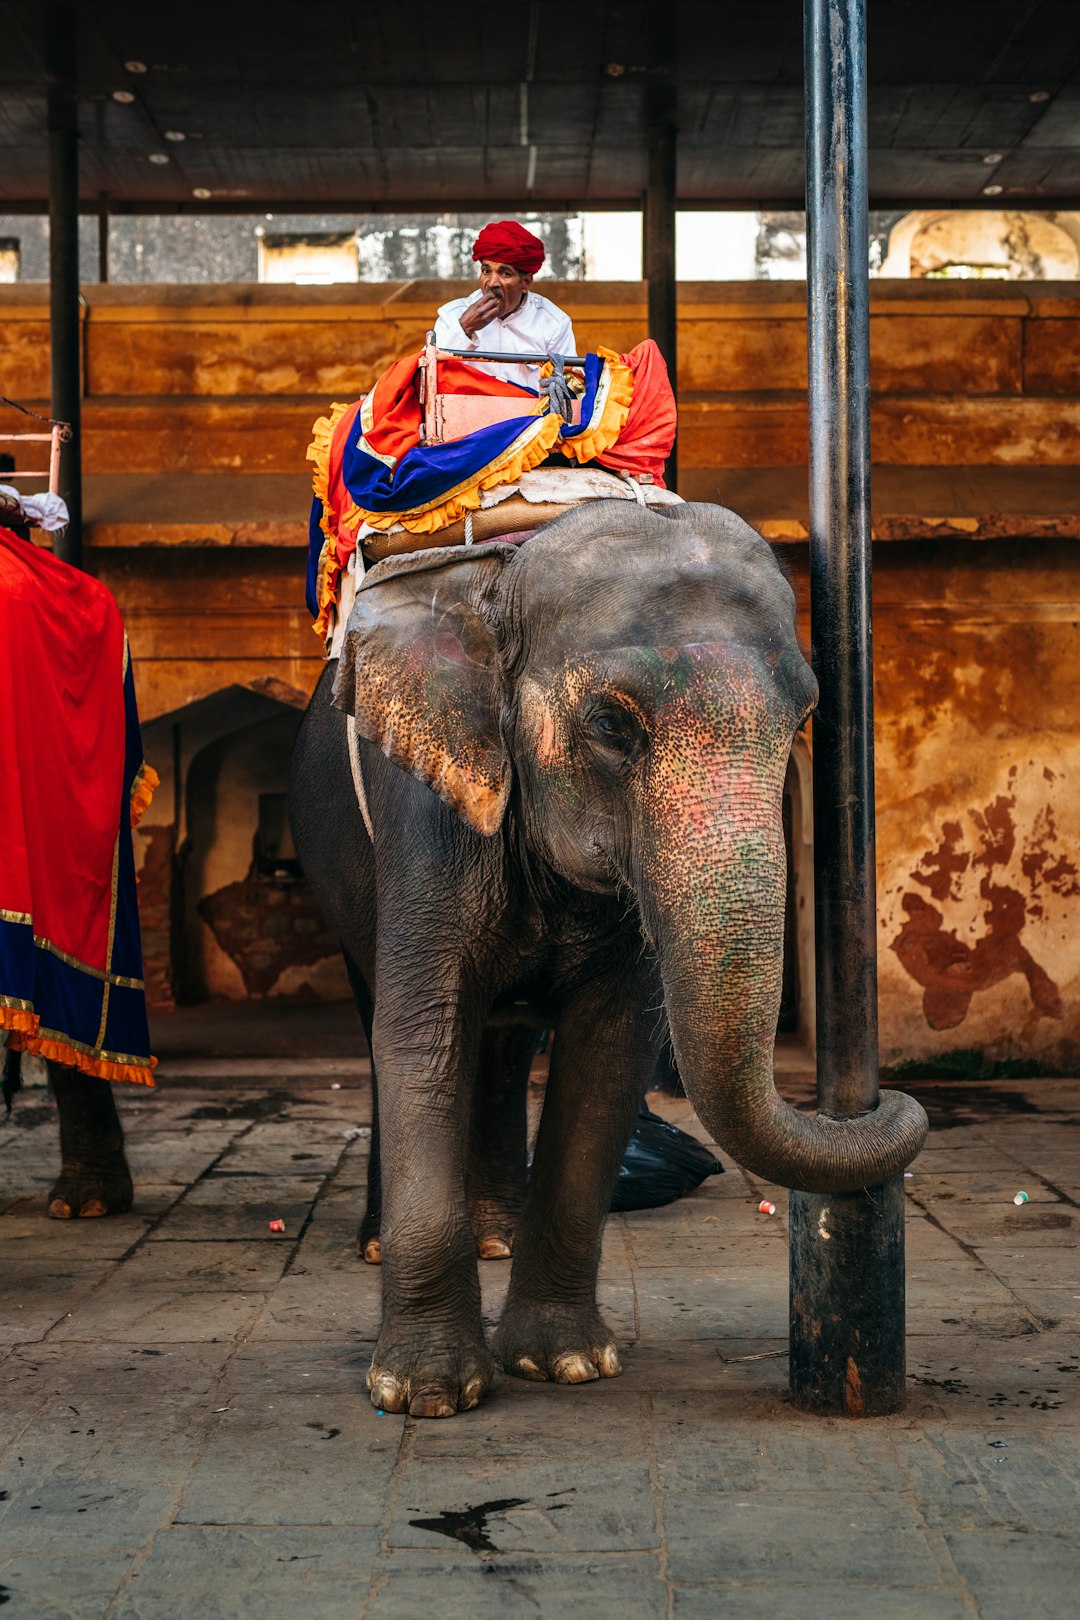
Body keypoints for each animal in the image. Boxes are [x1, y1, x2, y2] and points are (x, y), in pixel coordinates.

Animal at [286, 502, 932, 1419]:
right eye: (610, 727)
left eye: (805, 722)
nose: (893, 1104)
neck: (502, 578)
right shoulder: (428, 815)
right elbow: (421, 1035)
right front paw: (425, 1395)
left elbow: (608, 1052)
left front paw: (567, 1364)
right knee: (389, 1024)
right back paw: (383, 1247)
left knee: (505, 1045)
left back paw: (496, 1235)